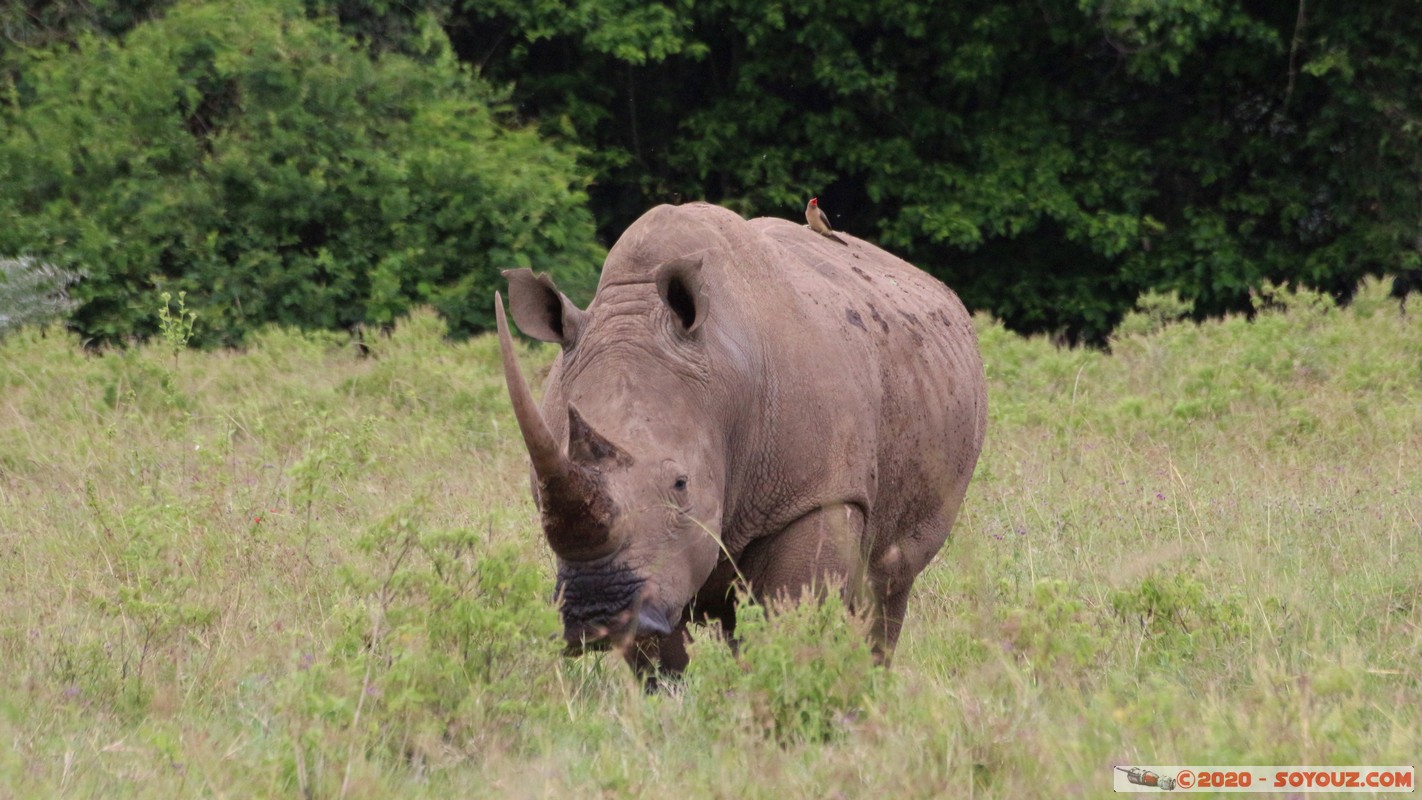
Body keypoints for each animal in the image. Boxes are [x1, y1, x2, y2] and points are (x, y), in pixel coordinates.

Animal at [495, 202, 987, 675]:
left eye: (681, 485)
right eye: (538, 492)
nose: (596, 615)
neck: (721, 377)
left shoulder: (815, 496)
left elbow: (789, 624)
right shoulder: (660, 568)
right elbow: (660, 664)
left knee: (885, 589)